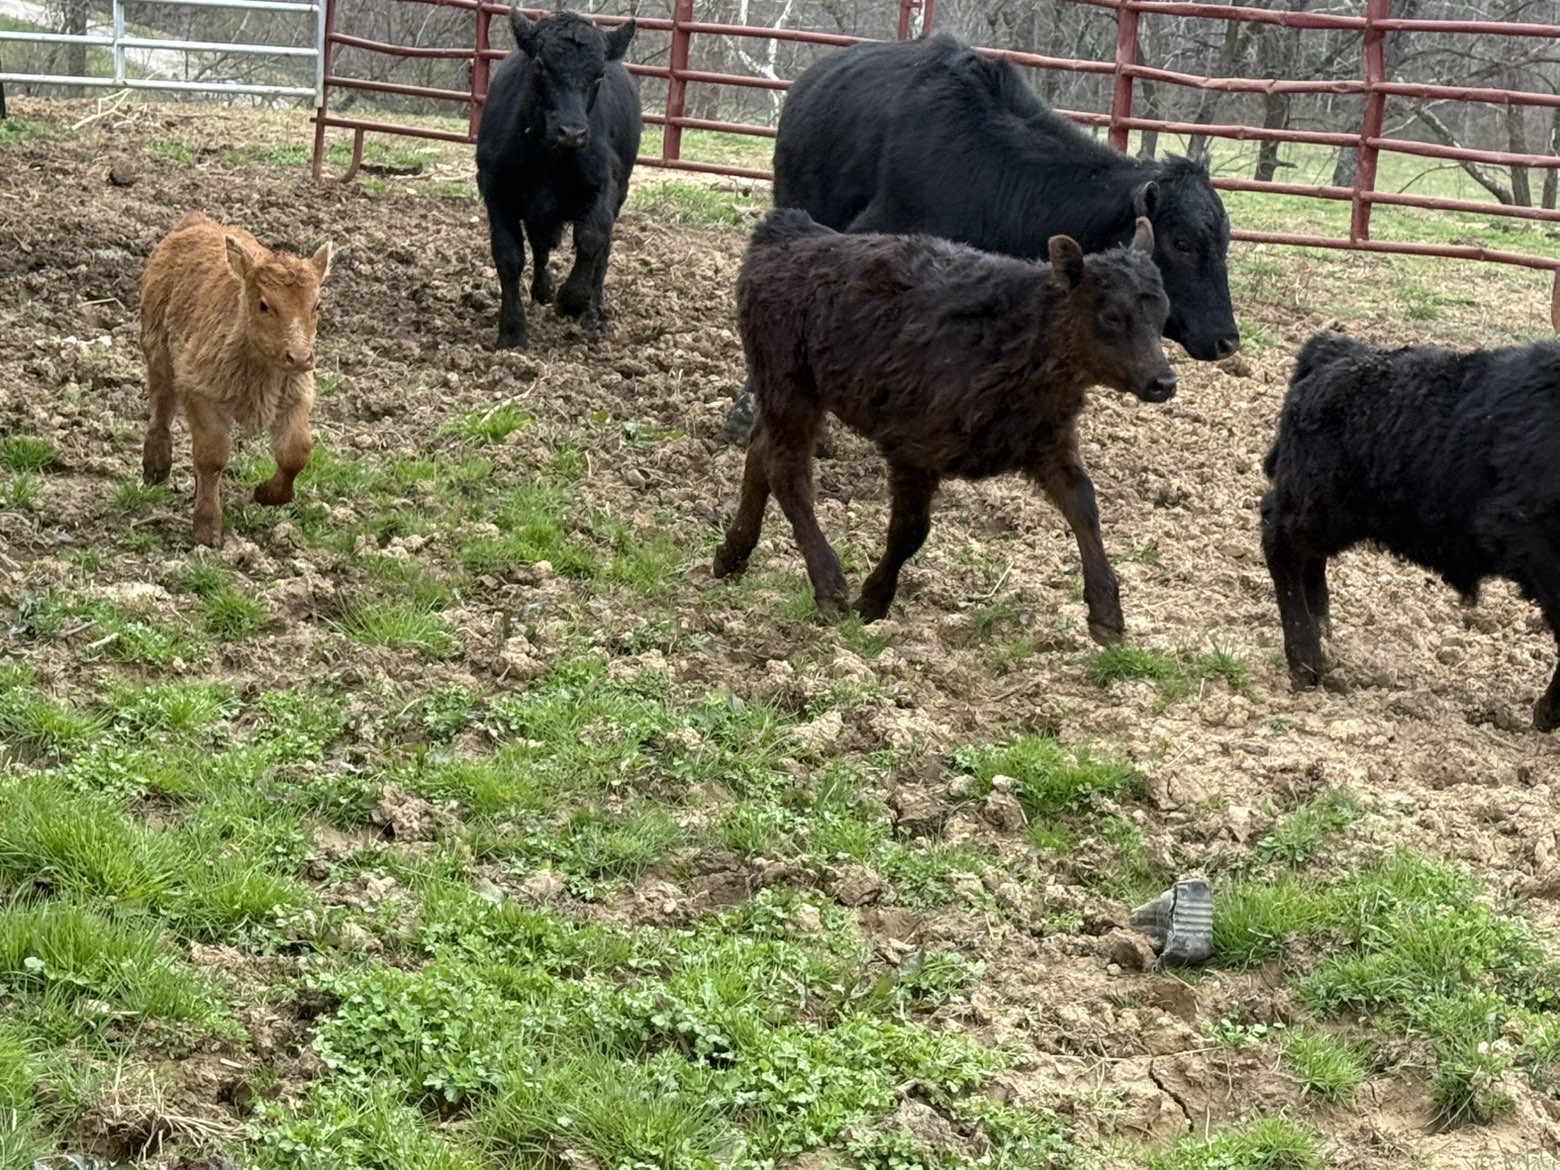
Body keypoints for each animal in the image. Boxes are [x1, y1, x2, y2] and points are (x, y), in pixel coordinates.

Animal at [140, 212, 332, 548]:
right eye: (264, 304)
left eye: (316, 306)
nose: (299, 357)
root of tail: (196, 221)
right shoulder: (198, 389)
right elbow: (212, 455)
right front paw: (207, 530)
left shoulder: (296, 395)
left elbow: (295, 452)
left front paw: (265, 494)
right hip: (157, 347)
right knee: (161, 402)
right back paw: (156, 467)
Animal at [475, 9, 640, 350]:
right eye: (540, 65)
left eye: (599, 74)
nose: (572, 132)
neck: (549, 158)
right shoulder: (496, 190)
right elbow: (509, 255)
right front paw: (512, 331)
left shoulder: (605, 186)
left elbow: (591, 238)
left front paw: (572, 299)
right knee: (539, 245)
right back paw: (542, 290)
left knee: (602, 252)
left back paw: (592, 312)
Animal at [713, 209, 1175, 642]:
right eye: (1112, 316)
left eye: (1163, 312)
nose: (1164, 382)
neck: (1016, 336)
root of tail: (789, 229)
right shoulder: (913, 447)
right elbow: (910, 531)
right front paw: (872, 601)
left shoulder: (1047, 440)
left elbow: (1084, 506)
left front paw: (1106, 614)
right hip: (788, 379)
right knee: (785, 468)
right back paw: (828, 585)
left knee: (760, 449)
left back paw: (732, 554)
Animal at [1261, 330, 1560, 731]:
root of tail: (1337, 350)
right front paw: (1548, 713)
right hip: (1318, 504)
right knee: (1278, 539)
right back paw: (1307, 661)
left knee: (1309, 558)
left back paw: (1324, 637)